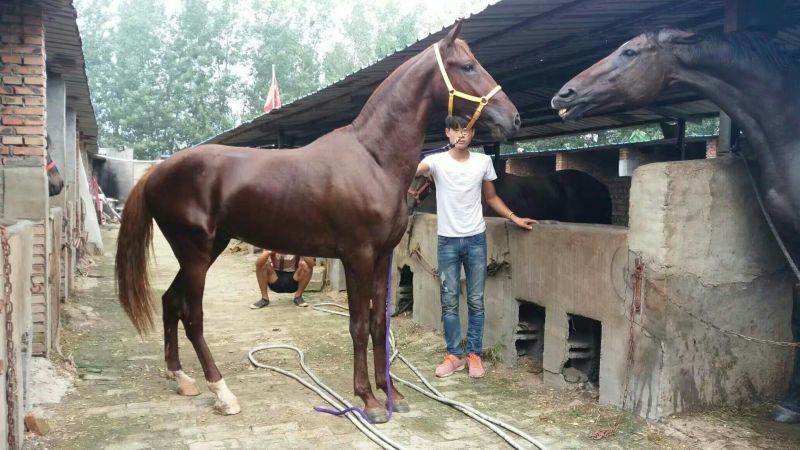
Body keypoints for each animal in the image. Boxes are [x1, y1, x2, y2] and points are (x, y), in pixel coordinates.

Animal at [115, 22, 520, 422]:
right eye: (468, 66)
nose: (512, 118)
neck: (373, 159)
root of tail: (154, 172)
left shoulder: (381, 258)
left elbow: (378, 324)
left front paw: (393, 393)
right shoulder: (357, 256)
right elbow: (358, 325)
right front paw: (369, 401)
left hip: (207, 249)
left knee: (170, 301)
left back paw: (181, 377)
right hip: (196, 254)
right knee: (192, 315)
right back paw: (222, 393)